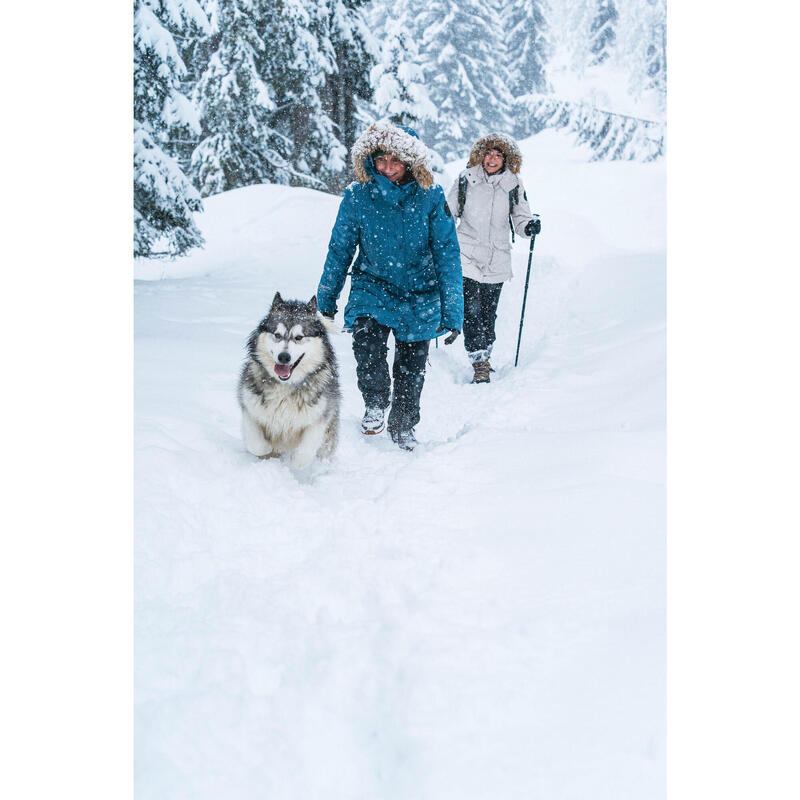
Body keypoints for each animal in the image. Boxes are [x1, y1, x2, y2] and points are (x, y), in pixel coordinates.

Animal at [236, 294, 340, 468]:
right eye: (277, 335)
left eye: (299, 337)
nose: (284, 357)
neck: (285, 385)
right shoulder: (250, 408)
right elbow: (256, 444)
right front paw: (267, 448)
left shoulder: (320, 416)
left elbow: (306, 450)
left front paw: (297, 462)